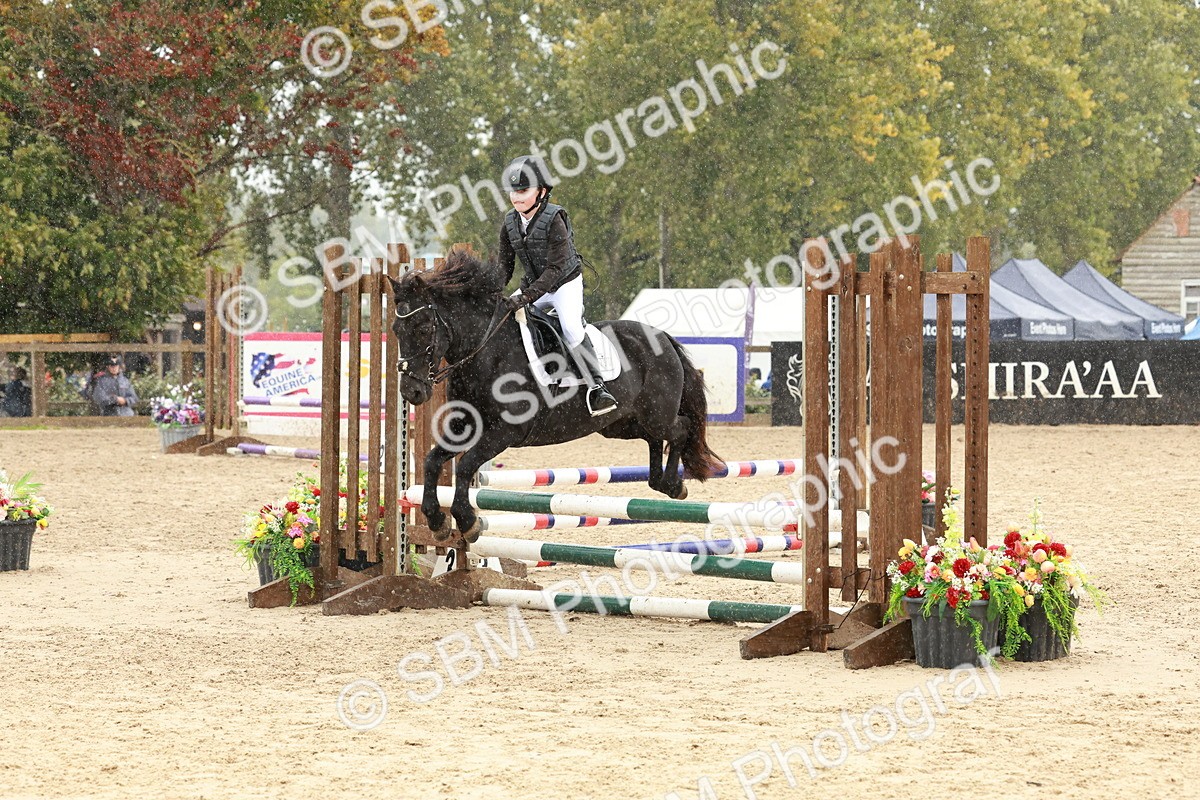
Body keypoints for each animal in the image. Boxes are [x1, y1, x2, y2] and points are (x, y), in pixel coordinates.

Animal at [388, 247, 724, 542]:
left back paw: (674, 485)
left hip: (656, 414)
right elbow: (432, 461)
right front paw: (437, 522)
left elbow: (467, 464)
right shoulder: (465, 425)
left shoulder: (505, 432)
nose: (411, 391)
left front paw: (467, 521)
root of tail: (662, 336)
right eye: (395, 330)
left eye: (423, 327)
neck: (488, 351)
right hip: (620, 424)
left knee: (680, 429)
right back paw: (662, 482)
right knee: (654, 439)